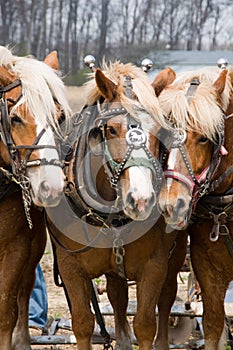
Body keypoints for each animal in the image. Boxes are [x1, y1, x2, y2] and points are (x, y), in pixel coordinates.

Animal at [46, 61, 187, 348]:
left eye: (159, 131)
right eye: (110, 129)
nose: (141, 199)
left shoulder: (155, 265)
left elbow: (145, 325)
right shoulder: (69, 265)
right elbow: (83, 323)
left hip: (175, 255)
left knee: (167, 300)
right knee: (118, 298)